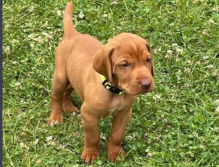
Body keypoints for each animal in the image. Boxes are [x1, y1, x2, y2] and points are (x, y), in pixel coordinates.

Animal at [48, 2, 155, 163]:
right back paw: (55, 117)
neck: (114, 91)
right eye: (124, 65)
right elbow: (93, 137)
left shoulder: (124, 114)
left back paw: (68, 106)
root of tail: (74, 34)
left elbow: (116, 136)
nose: (147, 84)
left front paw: (115, 154)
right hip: (60, 76)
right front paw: (91, 154)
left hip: (73, 76)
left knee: (68, 90)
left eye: (148, 60)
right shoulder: (89, 115)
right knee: (56, 96)